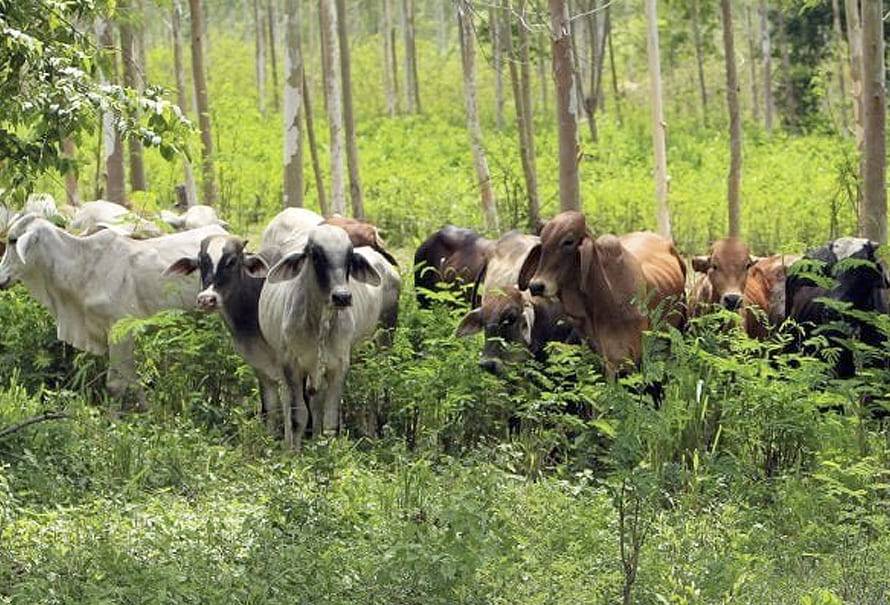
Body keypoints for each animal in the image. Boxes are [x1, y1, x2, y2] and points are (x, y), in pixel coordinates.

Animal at [0, 215, 225, 404]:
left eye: (13, 240)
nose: (1, 278)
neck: (83, 266)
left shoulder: (121, 331)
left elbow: (116, 385)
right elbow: (131, 380)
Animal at [255, 223, 398, 448]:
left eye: (350, 257)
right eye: (316, 256)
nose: (342, 297)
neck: (319, 322)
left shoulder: (338, 366)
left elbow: (331, 420)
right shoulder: (291, 365)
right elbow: (297, 417)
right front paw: (294, 452)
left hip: (383, 343)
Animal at [516, 211, 684, 372]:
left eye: (568, 241)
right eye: (543, 242)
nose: (536, 286)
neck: (605, 298)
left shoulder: (635, 356)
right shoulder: (607, 358)